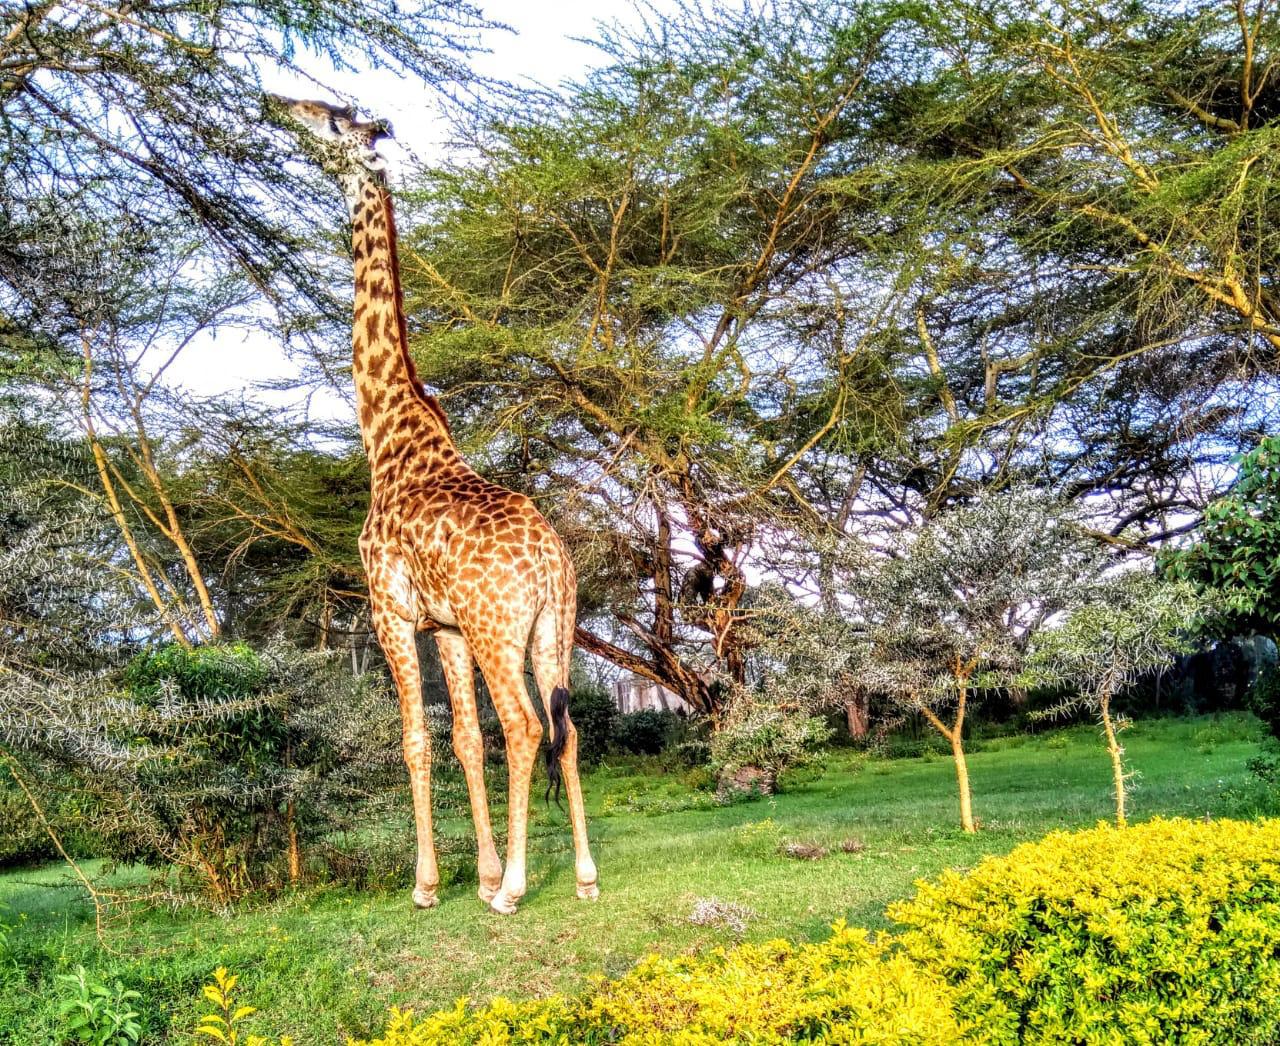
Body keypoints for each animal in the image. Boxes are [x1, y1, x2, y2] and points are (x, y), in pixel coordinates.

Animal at [277, 97, 598, 915]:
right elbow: (463, 739)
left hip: (498, 628)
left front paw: (431, 884)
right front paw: (477, 870)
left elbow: (418, 739)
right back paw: (583, 875)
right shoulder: (445, 624)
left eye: (330, 120)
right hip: (552, 627)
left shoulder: (390, 609)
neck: (388, 436)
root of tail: (551, 560)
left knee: (525, 725)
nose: (277, 105)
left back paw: (516, 888)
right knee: (566, 725)